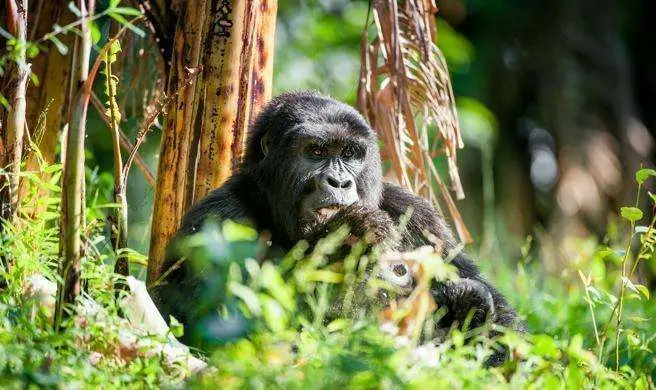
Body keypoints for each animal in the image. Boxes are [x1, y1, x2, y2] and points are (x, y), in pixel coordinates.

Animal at [151, 90, 524, 362]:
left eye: (350, 153)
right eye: (315, 152)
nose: (339, 181)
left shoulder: (416, 212)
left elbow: (509, 331)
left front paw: (472, 306)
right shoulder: (216, 218)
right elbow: (214, 322)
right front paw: (345, 237)